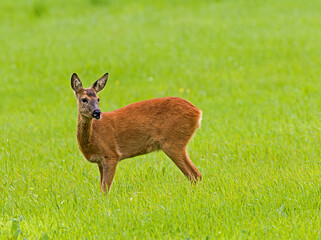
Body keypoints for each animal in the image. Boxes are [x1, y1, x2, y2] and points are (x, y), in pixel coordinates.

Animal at [71, 72, 201, 192]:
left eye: (98, 99)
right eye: (84, 99)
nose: (97, 112)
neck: (92, 138)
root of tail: (198, 112)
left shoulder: (111, 155)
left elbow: (105, 189)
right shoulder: (100, 161)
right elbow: (101, 188)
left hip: (173, 141)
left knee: (195, 175)